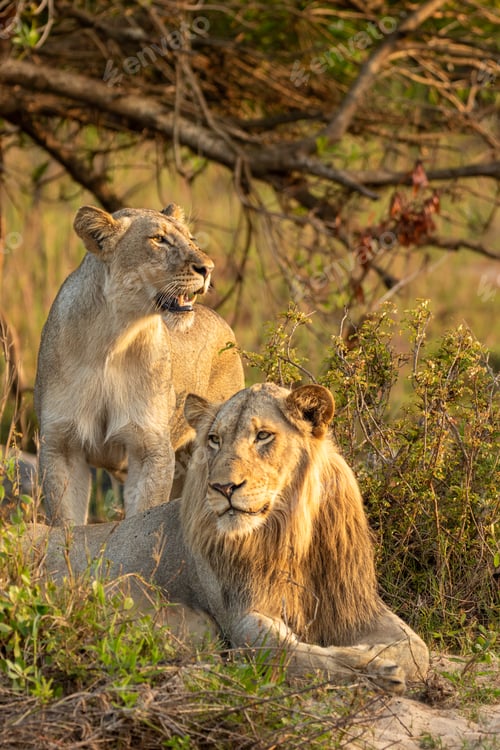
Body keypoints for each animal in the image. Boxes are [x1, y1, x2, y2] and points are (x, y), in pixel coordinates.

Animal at [27, 383, 429, 693]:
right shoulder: (237, 612)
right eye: (214, 440)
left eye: (263, 435)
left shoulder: (355, 609)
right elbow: (278, 648)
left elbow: (417, 650)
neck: (288, 537)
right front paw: (375, 670)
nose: (223, 487)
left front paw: (382, 660)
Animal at [34, 203, 244, 525]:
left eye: (191, 239)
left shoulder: (150, 447)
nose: (208, 268)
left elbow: (143, 512)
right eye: (159, 239)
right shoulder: (61, 444)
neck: (113, 339)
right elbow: (65, 521)